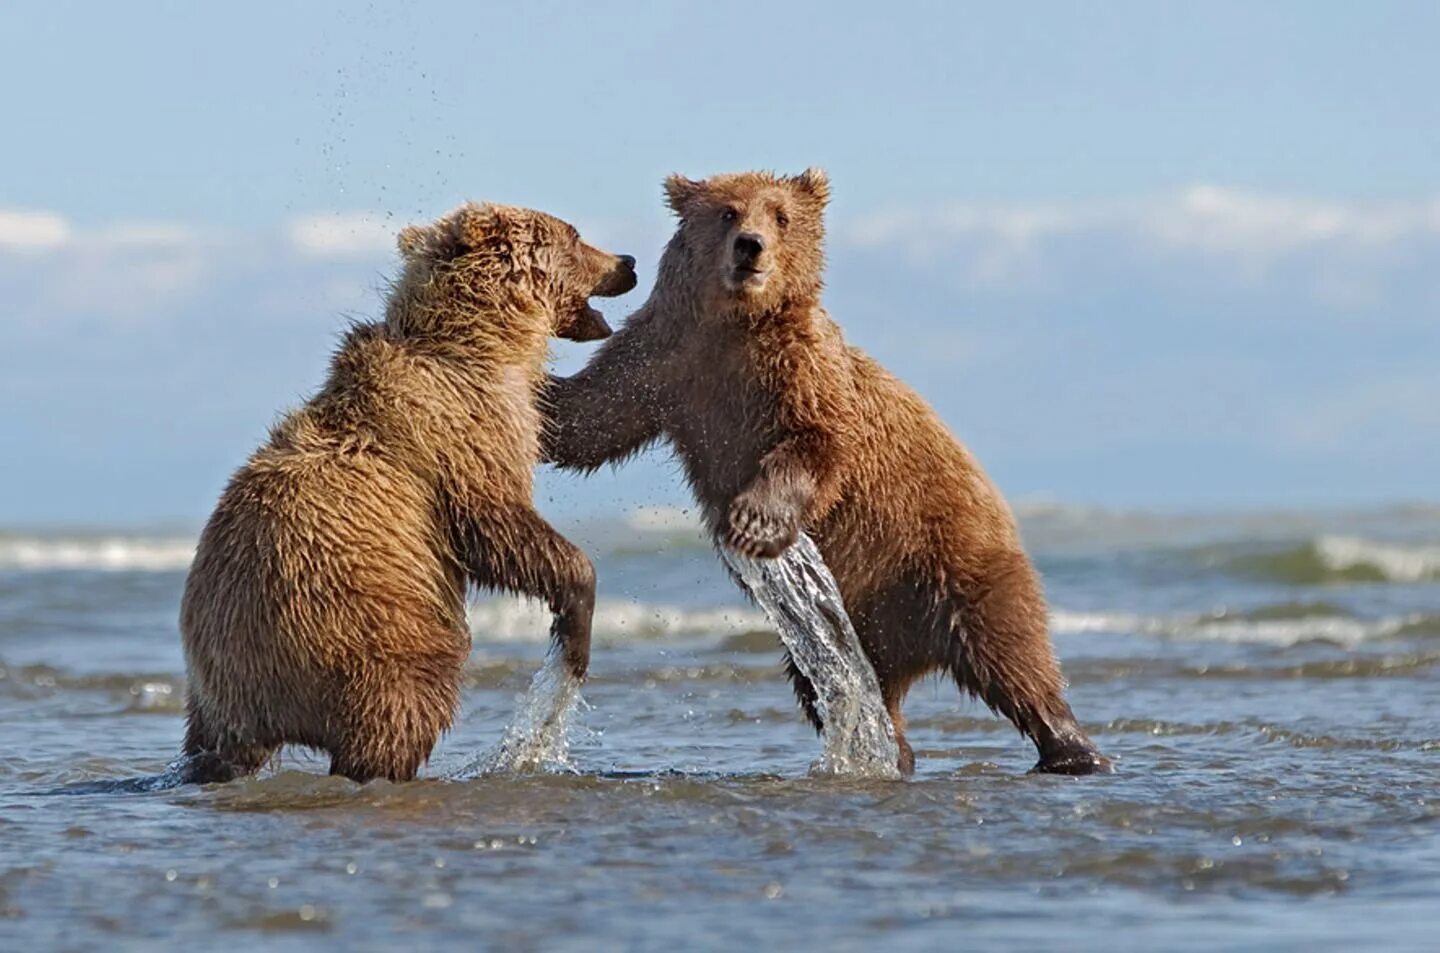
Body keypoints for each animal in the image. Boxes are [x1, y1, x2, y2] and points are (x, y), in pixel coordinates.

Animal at [175, 200, 636, 783]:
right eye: (574, 235)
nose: (628, 262)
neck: (479, 343)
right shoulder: (459, 431)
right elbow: (495, 525)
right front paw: (573, 628)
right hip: (363, 629)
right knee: (404, 706)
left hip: (217, 694)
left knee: (211, 746)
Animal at [544, 169, 1105, 777]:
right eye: (727, 212)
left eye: (781, 216)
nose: (750, 247)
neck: (736, 325)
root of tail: (914, 650)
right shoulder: (665, 362)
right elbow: (588, 420)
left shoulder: (803, 372)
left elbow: (819, 442)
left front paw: (755, 522)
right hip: (855, 625)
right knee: (838, 688)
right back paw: (891, 750)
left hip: (948, 556)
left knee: (1013, 652)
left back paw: (1071, 748)